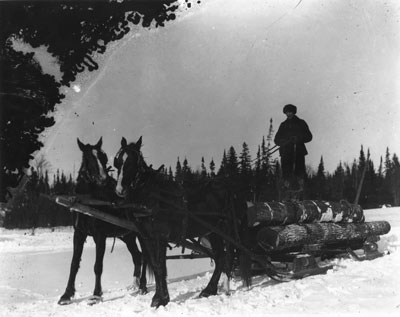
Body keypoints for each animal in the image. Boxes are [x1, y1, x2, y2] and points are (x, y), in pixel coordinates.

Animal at [57, 136, 148, 304]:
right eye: (88, 158)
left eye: (103, 157)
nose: (103, 179)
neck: (87, 201)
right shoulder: (79, 234)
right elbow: (74, 263)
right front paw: (66, 295)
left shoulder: (100, 236)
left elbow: (97, 266)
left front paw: (96, 295)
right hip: (127, 236)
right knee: (137, 256)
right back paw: (135, 284)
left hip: (140, 233)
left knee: (145, 255)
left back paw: (143, 286)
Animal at [112, 136, 250, 306]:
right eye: (117, 161)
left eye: (133, 162)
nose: (120, 190)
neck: (153, 197)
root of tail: (232, 190)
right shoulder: (147, 237)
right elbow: (155, 265)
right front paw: (159, 297)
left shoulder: (161, 236)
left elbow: (161, 266)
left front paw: (161, 299)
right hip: (212, 232)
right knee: (220, 258)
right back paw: (209, 290)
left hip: (227, 230)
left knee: (228, 257)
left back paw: (225, 289)